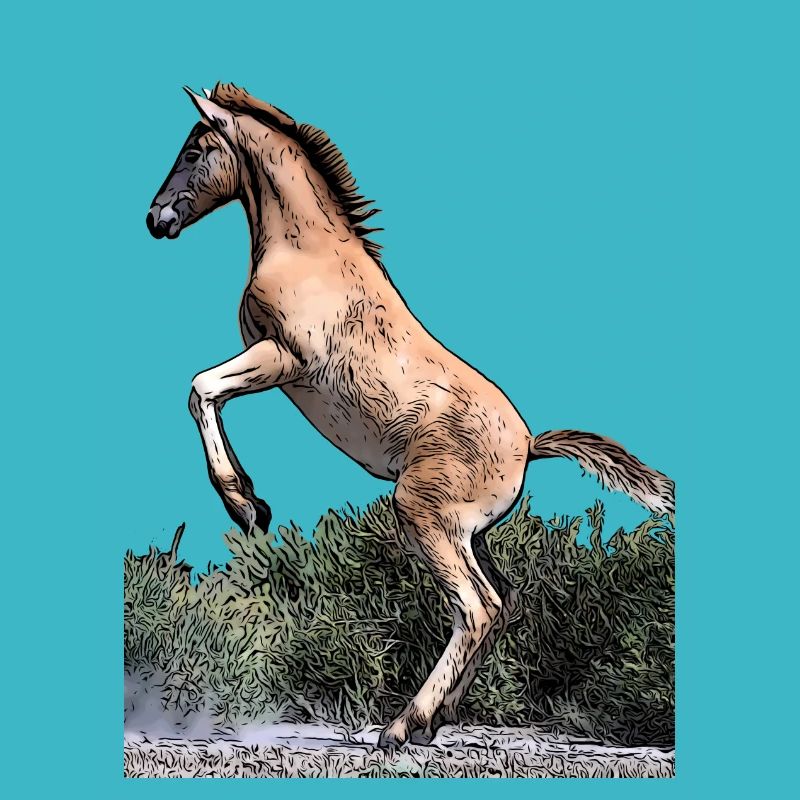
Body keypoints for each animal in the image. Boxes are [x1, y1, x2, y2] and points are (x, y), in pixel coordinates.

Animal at [146, 83, 674, 748]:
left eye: (194, 150)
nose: (156, 219)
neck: (307, 253)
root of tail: (529, 444)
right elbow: (205, 392)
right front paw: (252, 505)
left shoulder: (281, 358)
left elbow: (201, 389)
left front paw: (247, 507)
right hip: (469, 533)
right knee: (500, 602)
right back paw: (433, 722)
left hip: (424, 515)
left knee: (477, 608)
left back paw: (403, 725)